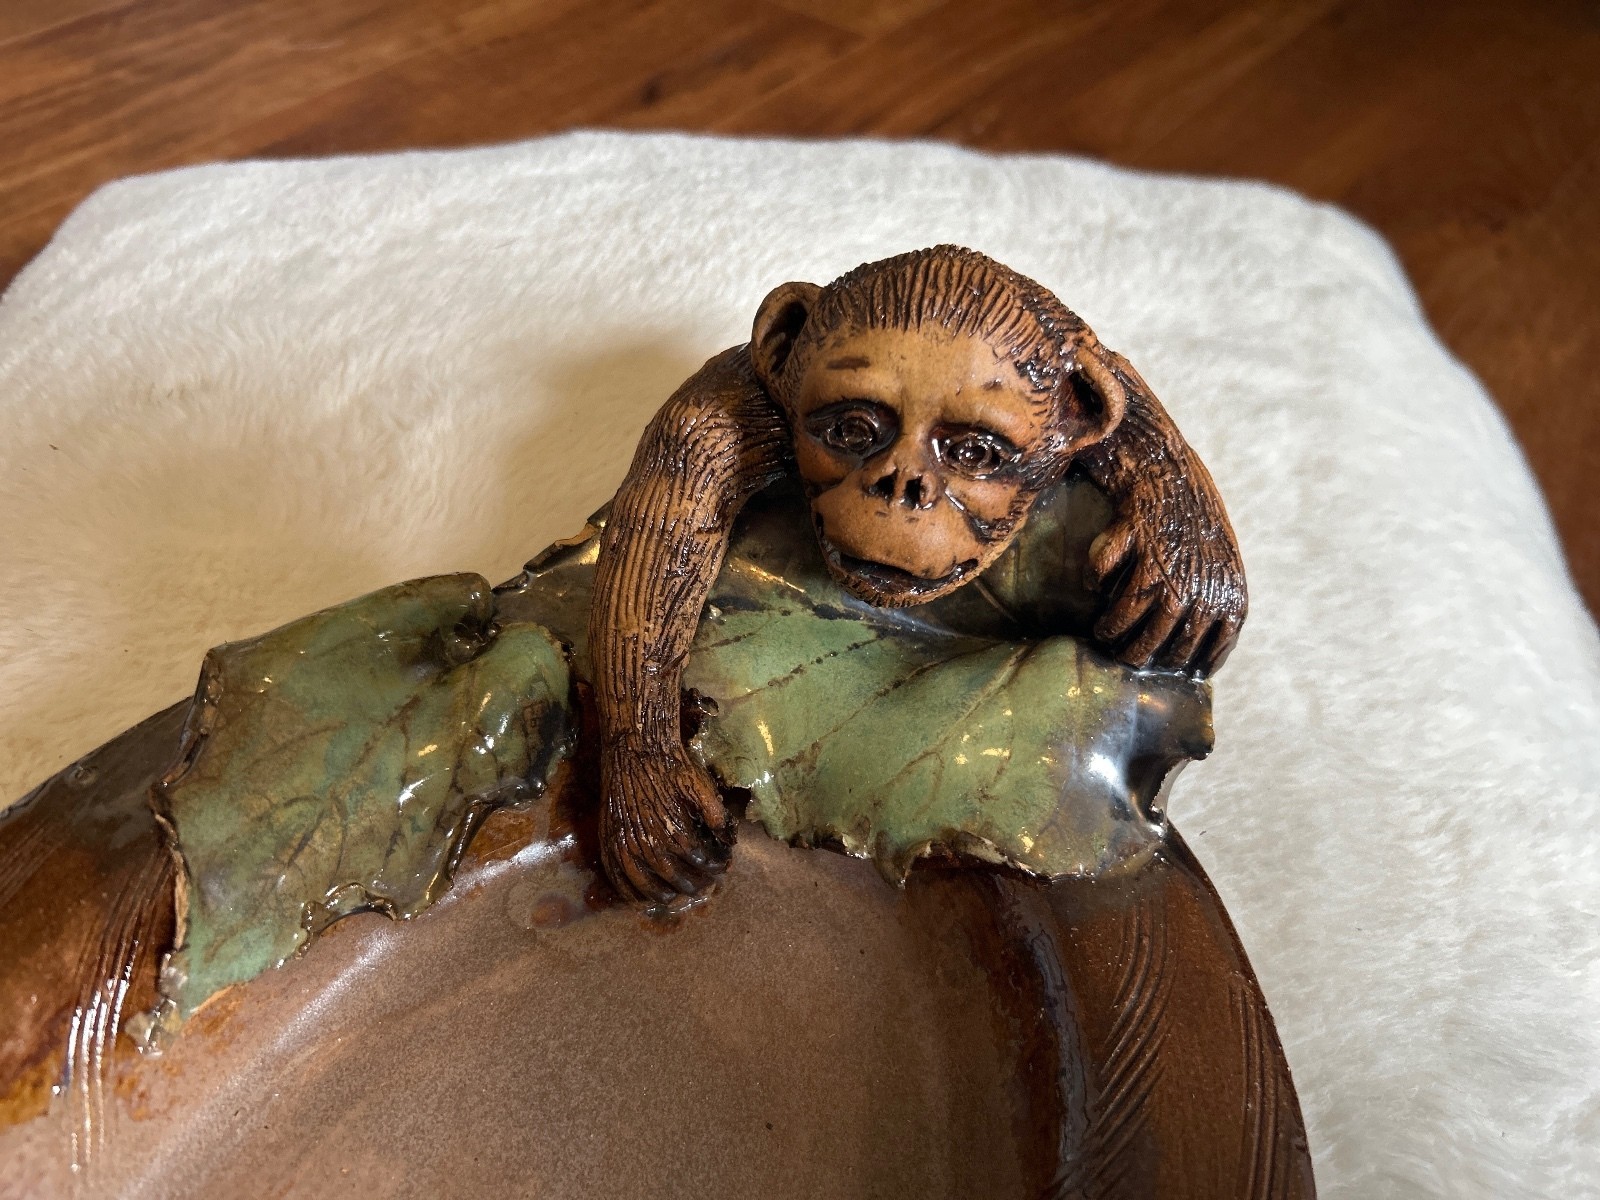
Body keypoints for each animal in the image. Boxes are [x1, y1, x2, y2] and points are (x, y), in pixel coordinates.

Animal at [588, 246, 1247, 905]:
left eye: (975, 454)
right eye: (852, 430)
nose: (901, 486)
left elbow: (1110, 377)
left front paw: (1192, 555)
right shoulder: (714, 423)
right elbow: (655, 556)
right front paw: (647, 783)